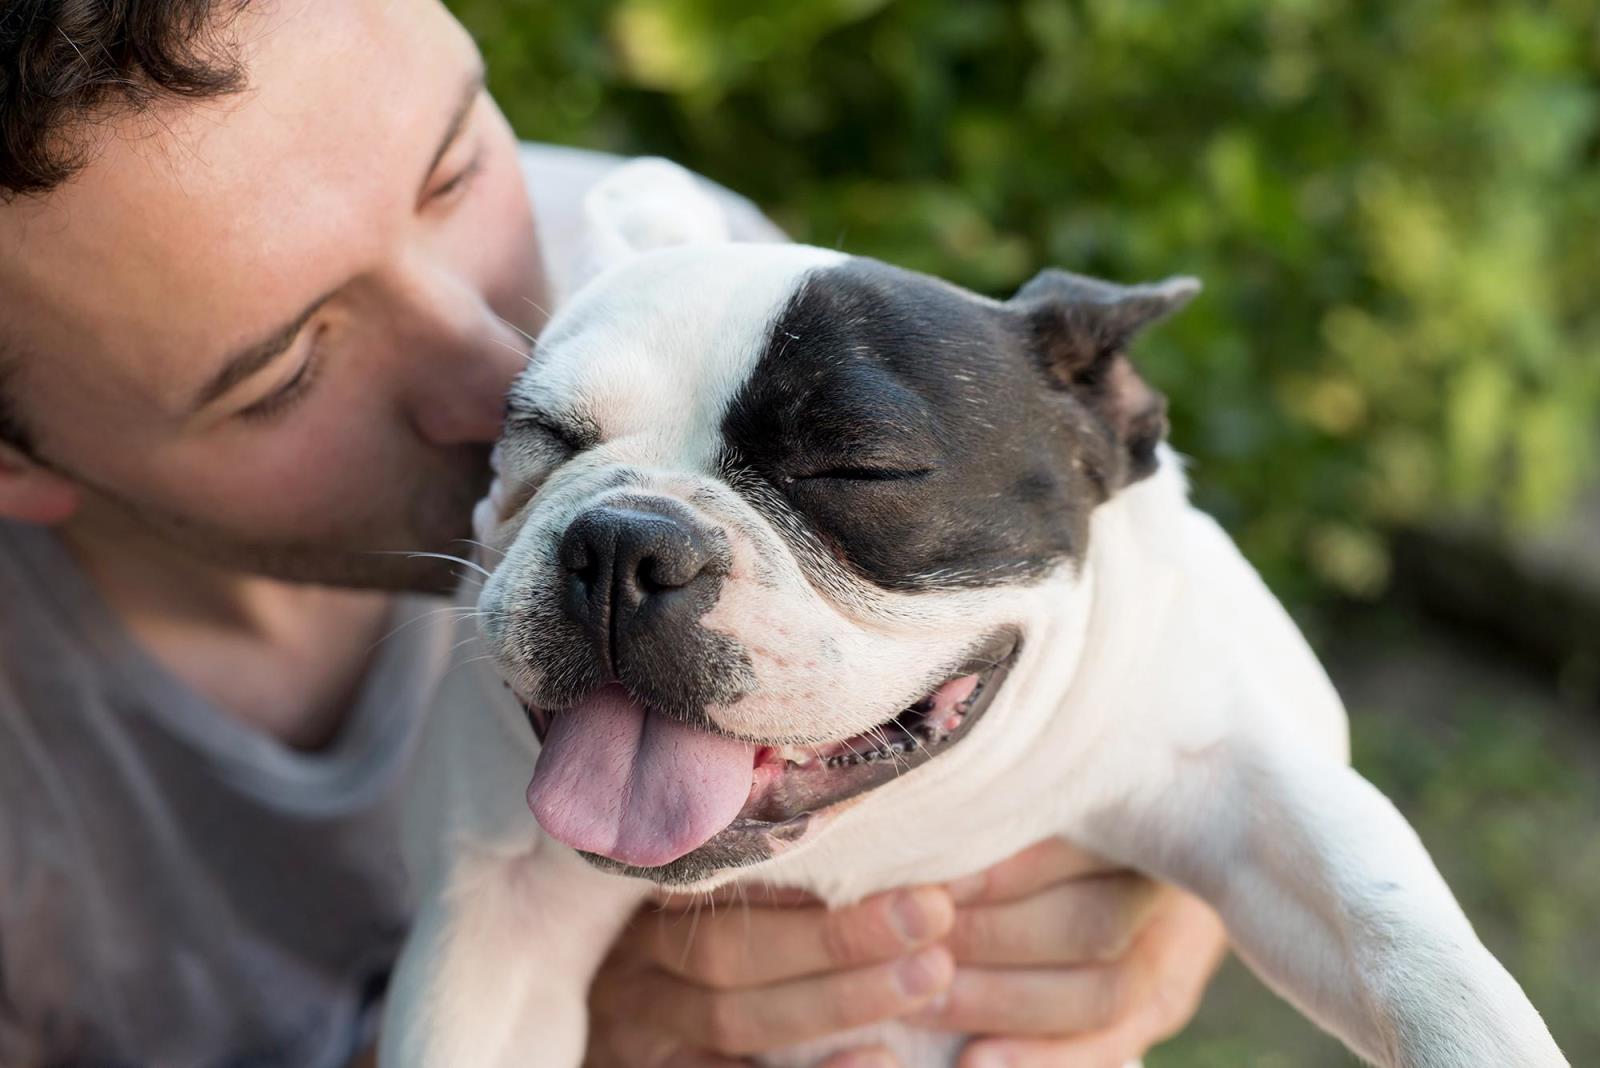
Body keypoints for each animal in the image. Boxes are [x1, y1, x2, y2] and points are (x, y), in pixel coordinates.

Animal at [380, 163, 1568, 1068]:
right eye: (543, 438)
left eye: (858, 468)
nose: (626, 541)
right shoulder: (500, 916)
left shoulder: (1240, 775)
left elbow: (1396, 930)